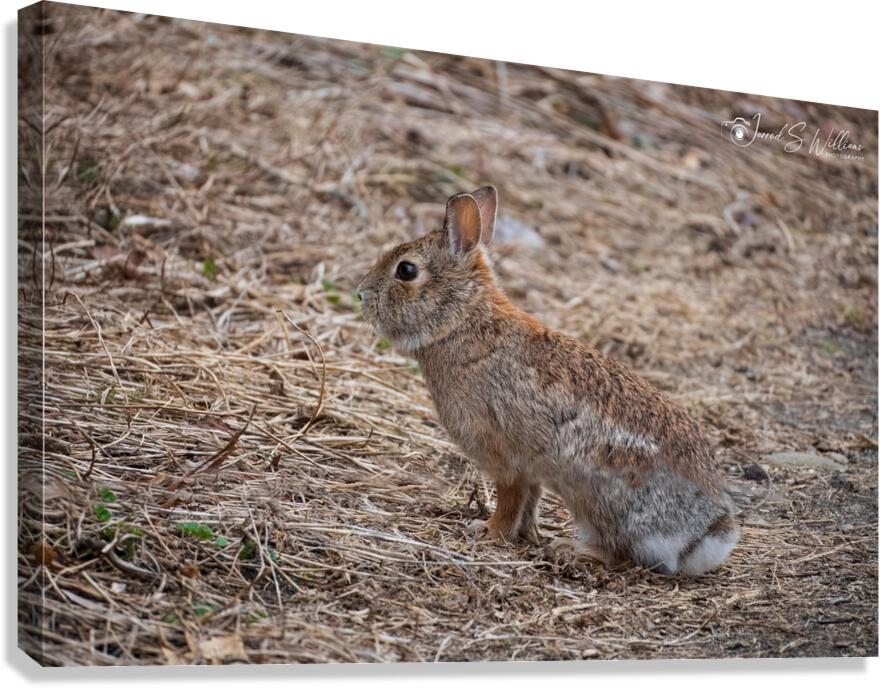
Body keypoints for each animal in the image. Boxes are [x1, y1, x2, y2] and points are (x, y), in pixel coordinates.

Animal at [358, 186, 739, 576]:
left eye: (406, 270)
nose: (362, 293)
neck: (461, 321)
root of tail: (706, 534)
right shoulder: (532, 469)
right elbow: (529, 500)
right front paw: (525, 535)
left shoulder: (501, 453)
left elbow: (510, 495)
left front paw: (488, 531)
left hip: (593, 493)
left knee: (621, 552)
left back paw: (573, 550)